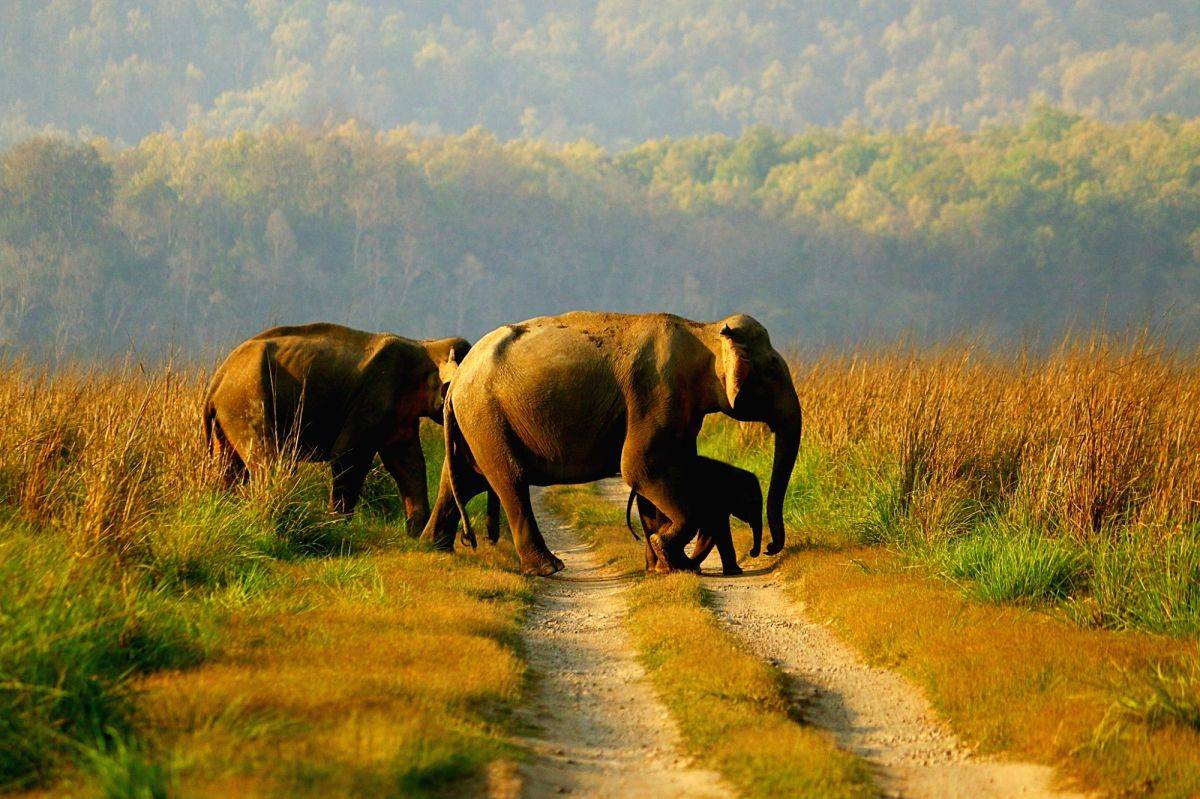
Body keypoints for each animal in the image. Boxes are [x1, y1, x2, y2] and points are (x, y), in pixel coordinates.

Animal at [203, 322, 497, 542]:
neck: (425, 345)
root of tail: (216, 381)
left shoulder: (398, 415)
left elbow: (408, 462)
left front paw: (416, 531)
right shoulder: (374, 395)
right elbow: (348, 455)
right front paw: (338, 525)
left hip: (228, 418)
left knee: (230, 468)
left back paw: (227, 510)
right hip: (247, 404)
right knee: (271, 461)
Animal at [625, 456, 763, 575]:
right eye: (753, 502)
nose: (752, 552)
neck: (734, 471)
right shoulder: (716, 500)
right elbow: (715, 531)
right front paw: (735, 572)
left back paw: (659, 566)